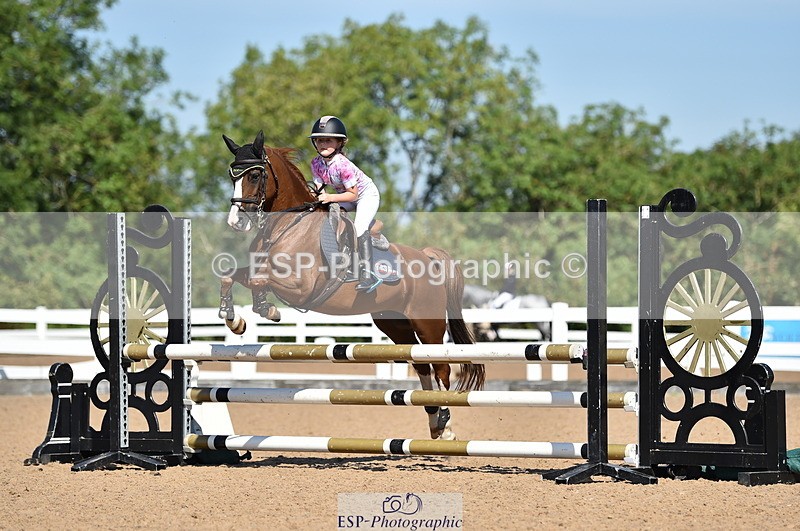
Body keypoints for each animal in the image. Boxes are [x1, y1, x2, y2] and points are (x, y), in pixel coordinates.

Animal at [218, 130, 485, 440]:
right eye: (232, 175)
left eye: (255, 175)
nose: (235, 221)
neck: (287, 224)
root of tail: (428, 258)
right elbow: (230, 275)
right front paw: (233, 319)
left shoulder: (301, 287)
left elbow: (259, 280)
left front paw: (265, 308)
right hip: (394, 323)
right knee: (421, 365)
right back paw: (434, 422)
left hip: (426, 323)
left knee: (441, 367)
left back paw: (447, 427)